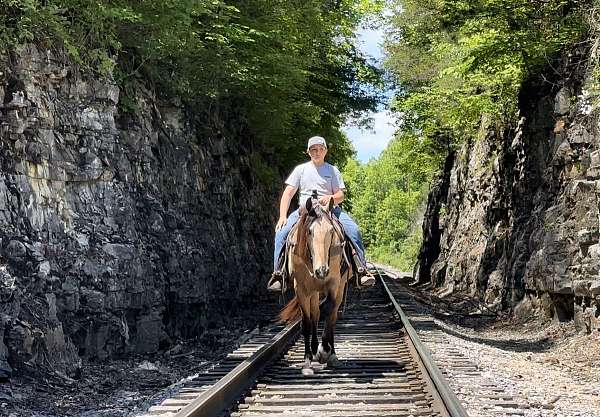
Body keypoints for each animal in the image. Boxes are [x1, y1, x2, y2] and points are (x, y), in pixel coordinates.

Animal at [280, 197, 354, 376]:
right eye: (309, 232)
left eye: (331, 231)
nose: (321, 270)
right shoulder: (301, 289)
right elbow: (306, 323)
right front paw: (307, 362)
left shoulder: (334, 284)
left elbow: (328, 313)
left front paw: (324, 351)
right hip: (312, 291)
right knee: (315, 314)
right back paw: (313, 349)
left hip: (339, 287)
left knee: (332, 315)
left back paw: (331, 355)